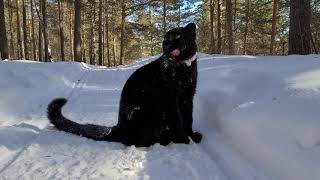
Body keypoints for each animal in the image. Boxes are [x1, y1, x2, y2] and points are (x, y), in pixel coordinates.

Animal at [47, 22, 202, 147]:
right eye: (165, 40)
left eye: (178, 38)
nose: (168, 45)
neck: (183, 67)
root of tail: (119, 127)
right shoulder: (171, 99)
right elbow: (178, 120)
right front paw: (183, 139)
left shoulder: (188, 97)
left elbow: (188, 118)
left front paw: (192, 135)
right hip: (152, 111)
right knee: (136, 142)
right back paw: (163, 141)